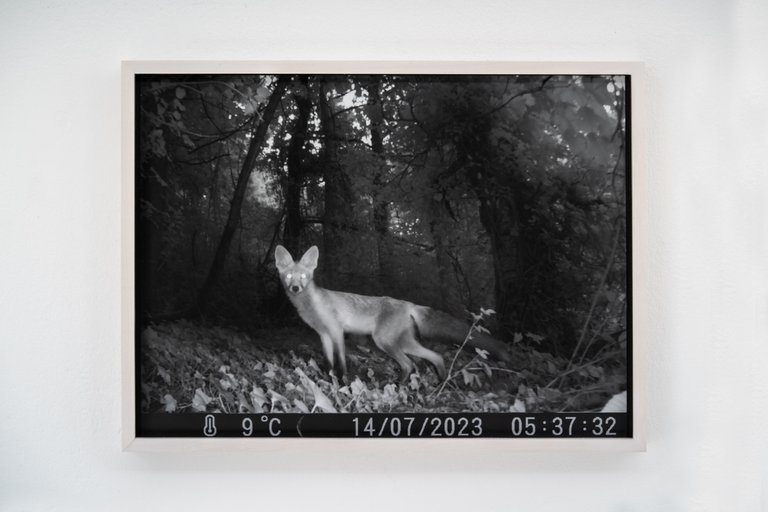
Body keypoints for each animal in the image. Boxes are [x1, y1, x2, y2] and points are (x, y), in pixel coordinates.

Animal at [274, 245, 510, 383]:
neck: (313, 305)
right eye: (289, 277)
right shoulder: (323, 335)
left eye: (303, 277)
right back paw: (436, 382)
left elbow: (341, 363)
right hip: (403, 342)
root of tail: (409, 304)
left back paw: (402, 385)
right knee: (433, 357)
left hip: (384, 341)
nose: (295, 288)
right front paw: (327, 379)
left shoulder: (337, 331)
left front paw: (343, 383)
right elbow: (328, 362)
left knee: (410, 363)